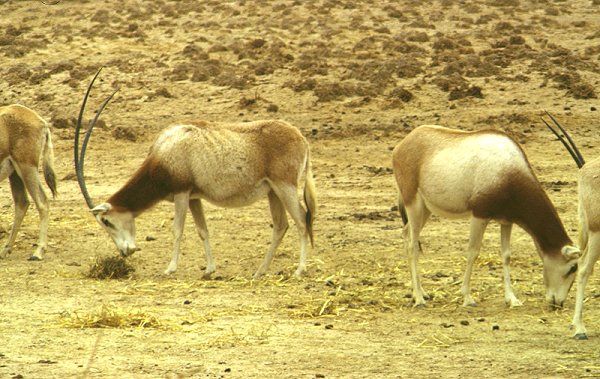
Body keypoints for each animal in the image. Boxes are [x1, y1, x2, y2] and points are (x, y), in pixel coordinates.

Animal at [73, 70, 316, 280]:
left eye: (106, 221)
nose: (126, 252)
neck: (164, 151)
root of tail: (301, 138)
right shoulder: (194, 198)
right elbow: (202, 230)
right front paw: (209, 269)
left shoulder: (181, 193)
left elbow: (177, 230)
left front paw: (170, 268)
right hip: (273, 192)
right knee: (281, 226)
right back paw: (259, 272)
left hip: (285, 187)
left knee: (302, 220)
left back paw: (300, 270)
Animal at [392, 126, 580, 310]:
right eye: (573, 268)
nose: (558, 303)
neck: (509, 170)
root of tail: (402, 145)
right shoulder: (479, 215)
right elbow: (473, 252)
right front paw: (467, 298)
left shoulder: (507, 220)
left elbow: (506, 255)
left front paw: (512, 299)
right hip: (414, 204)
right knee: (412, 245)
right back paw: (419, 299)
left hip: (425, 209)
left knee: (406, 233)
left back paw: (421, 293)